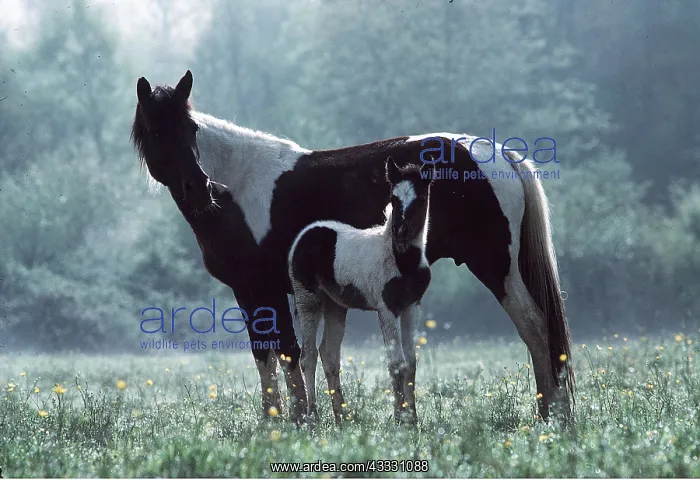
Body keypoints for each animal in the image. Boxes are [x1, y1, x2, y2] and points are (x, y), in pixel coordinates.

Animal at [289, 157, 434, 424]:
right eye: (393, 198)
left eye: (421, 198)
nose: (401, 231)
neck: (401, 259)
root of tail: (306, 234)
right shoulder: (386, 308)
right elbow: (396, 362)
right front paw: (399, 419)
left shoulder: (412, 306)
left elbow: (410, 362)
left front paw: (413, 417)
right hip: (307, 299)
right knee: (308, 356)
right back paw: (313, 416)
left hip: (335, 305)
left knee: (329, 354)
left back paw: (341, 417)